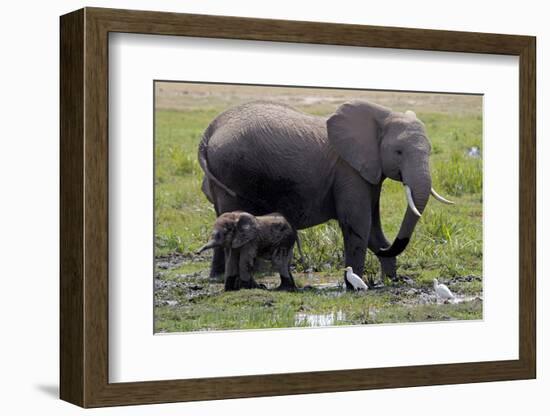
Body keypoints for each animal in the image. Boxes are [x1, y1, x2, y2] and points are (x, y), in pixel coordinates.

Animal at [198, 100, 452, 286]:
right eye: (398, 152)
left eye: (430, 151)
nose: (390, 247)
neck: (381, 117)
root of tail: (209, 132)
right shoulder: (348, 171)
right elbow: (358, 224)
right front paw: (354, 286)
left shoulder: (369, 173)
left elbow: (372, 228)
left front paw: (391, 281)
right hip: (230, 169)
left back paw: (217, 278)